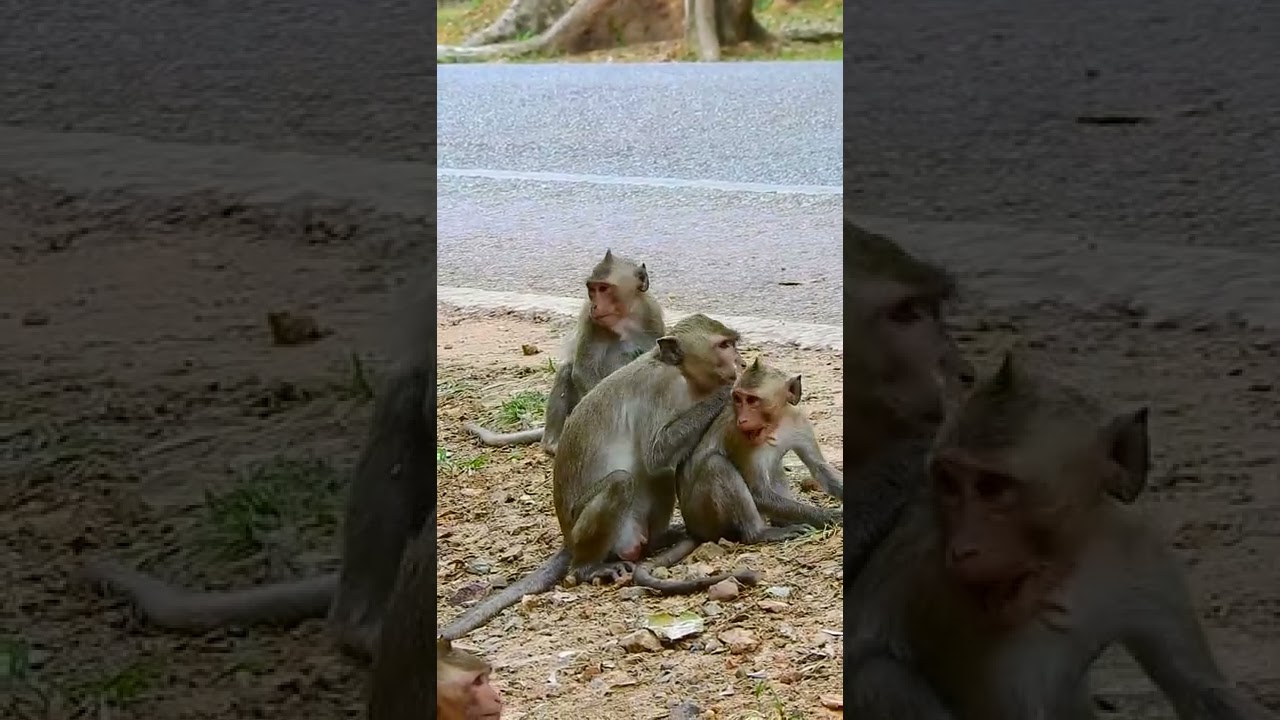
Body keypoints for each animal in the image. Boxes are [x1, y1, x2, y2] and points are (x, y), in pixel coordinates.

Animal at [439, 314, 753, 640]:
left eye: (732, 343)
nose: (741, 361)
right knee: (621, 482)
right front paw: (727, 392)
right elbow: (657, 452)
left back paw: (658, 540)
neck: (681, 372)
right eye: (724, 346)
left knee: (659, 477)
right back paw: (587, 568)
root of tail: (569, 541)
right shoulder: (661, 390)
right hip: (588, 531)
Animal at [464, 249, 664, 456]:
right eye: (592, 289)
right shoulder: (590, 321)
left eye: (603, 288)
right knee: (567, 370)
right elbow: (582, 370)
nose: (594, 306)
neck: (624, 316)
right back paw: (552, 443)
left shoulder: (652, 316)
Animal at [845, 352, 1271, 720]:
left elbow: (1202, 689)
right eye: (949, 482)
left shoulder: (1137, 549)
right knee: (879, 677)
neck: (1062, 569)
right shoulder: (939, 590)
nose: (963, 550)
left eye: (993, 488)